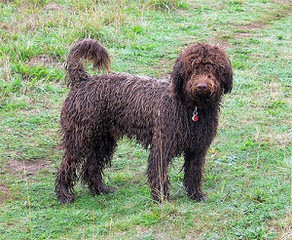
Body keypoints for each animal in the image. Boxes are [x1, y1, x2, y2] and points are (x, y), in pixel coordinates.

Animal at [55, 38, 233, 203]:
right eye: (192, 68)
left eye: (213, 68)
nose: (202, 86)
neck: (190, 107)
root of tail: (83, 80)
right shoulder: (162, 145)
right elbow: (159, 174)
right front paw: (161, 198)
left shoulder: (197, 148)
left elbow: (193, 173)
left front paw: (195, 195)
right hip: (79, 138)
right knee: (67, 164)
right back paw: (64, 195)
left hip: (102, 140)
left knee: (90, 167)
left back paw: (100, 189)